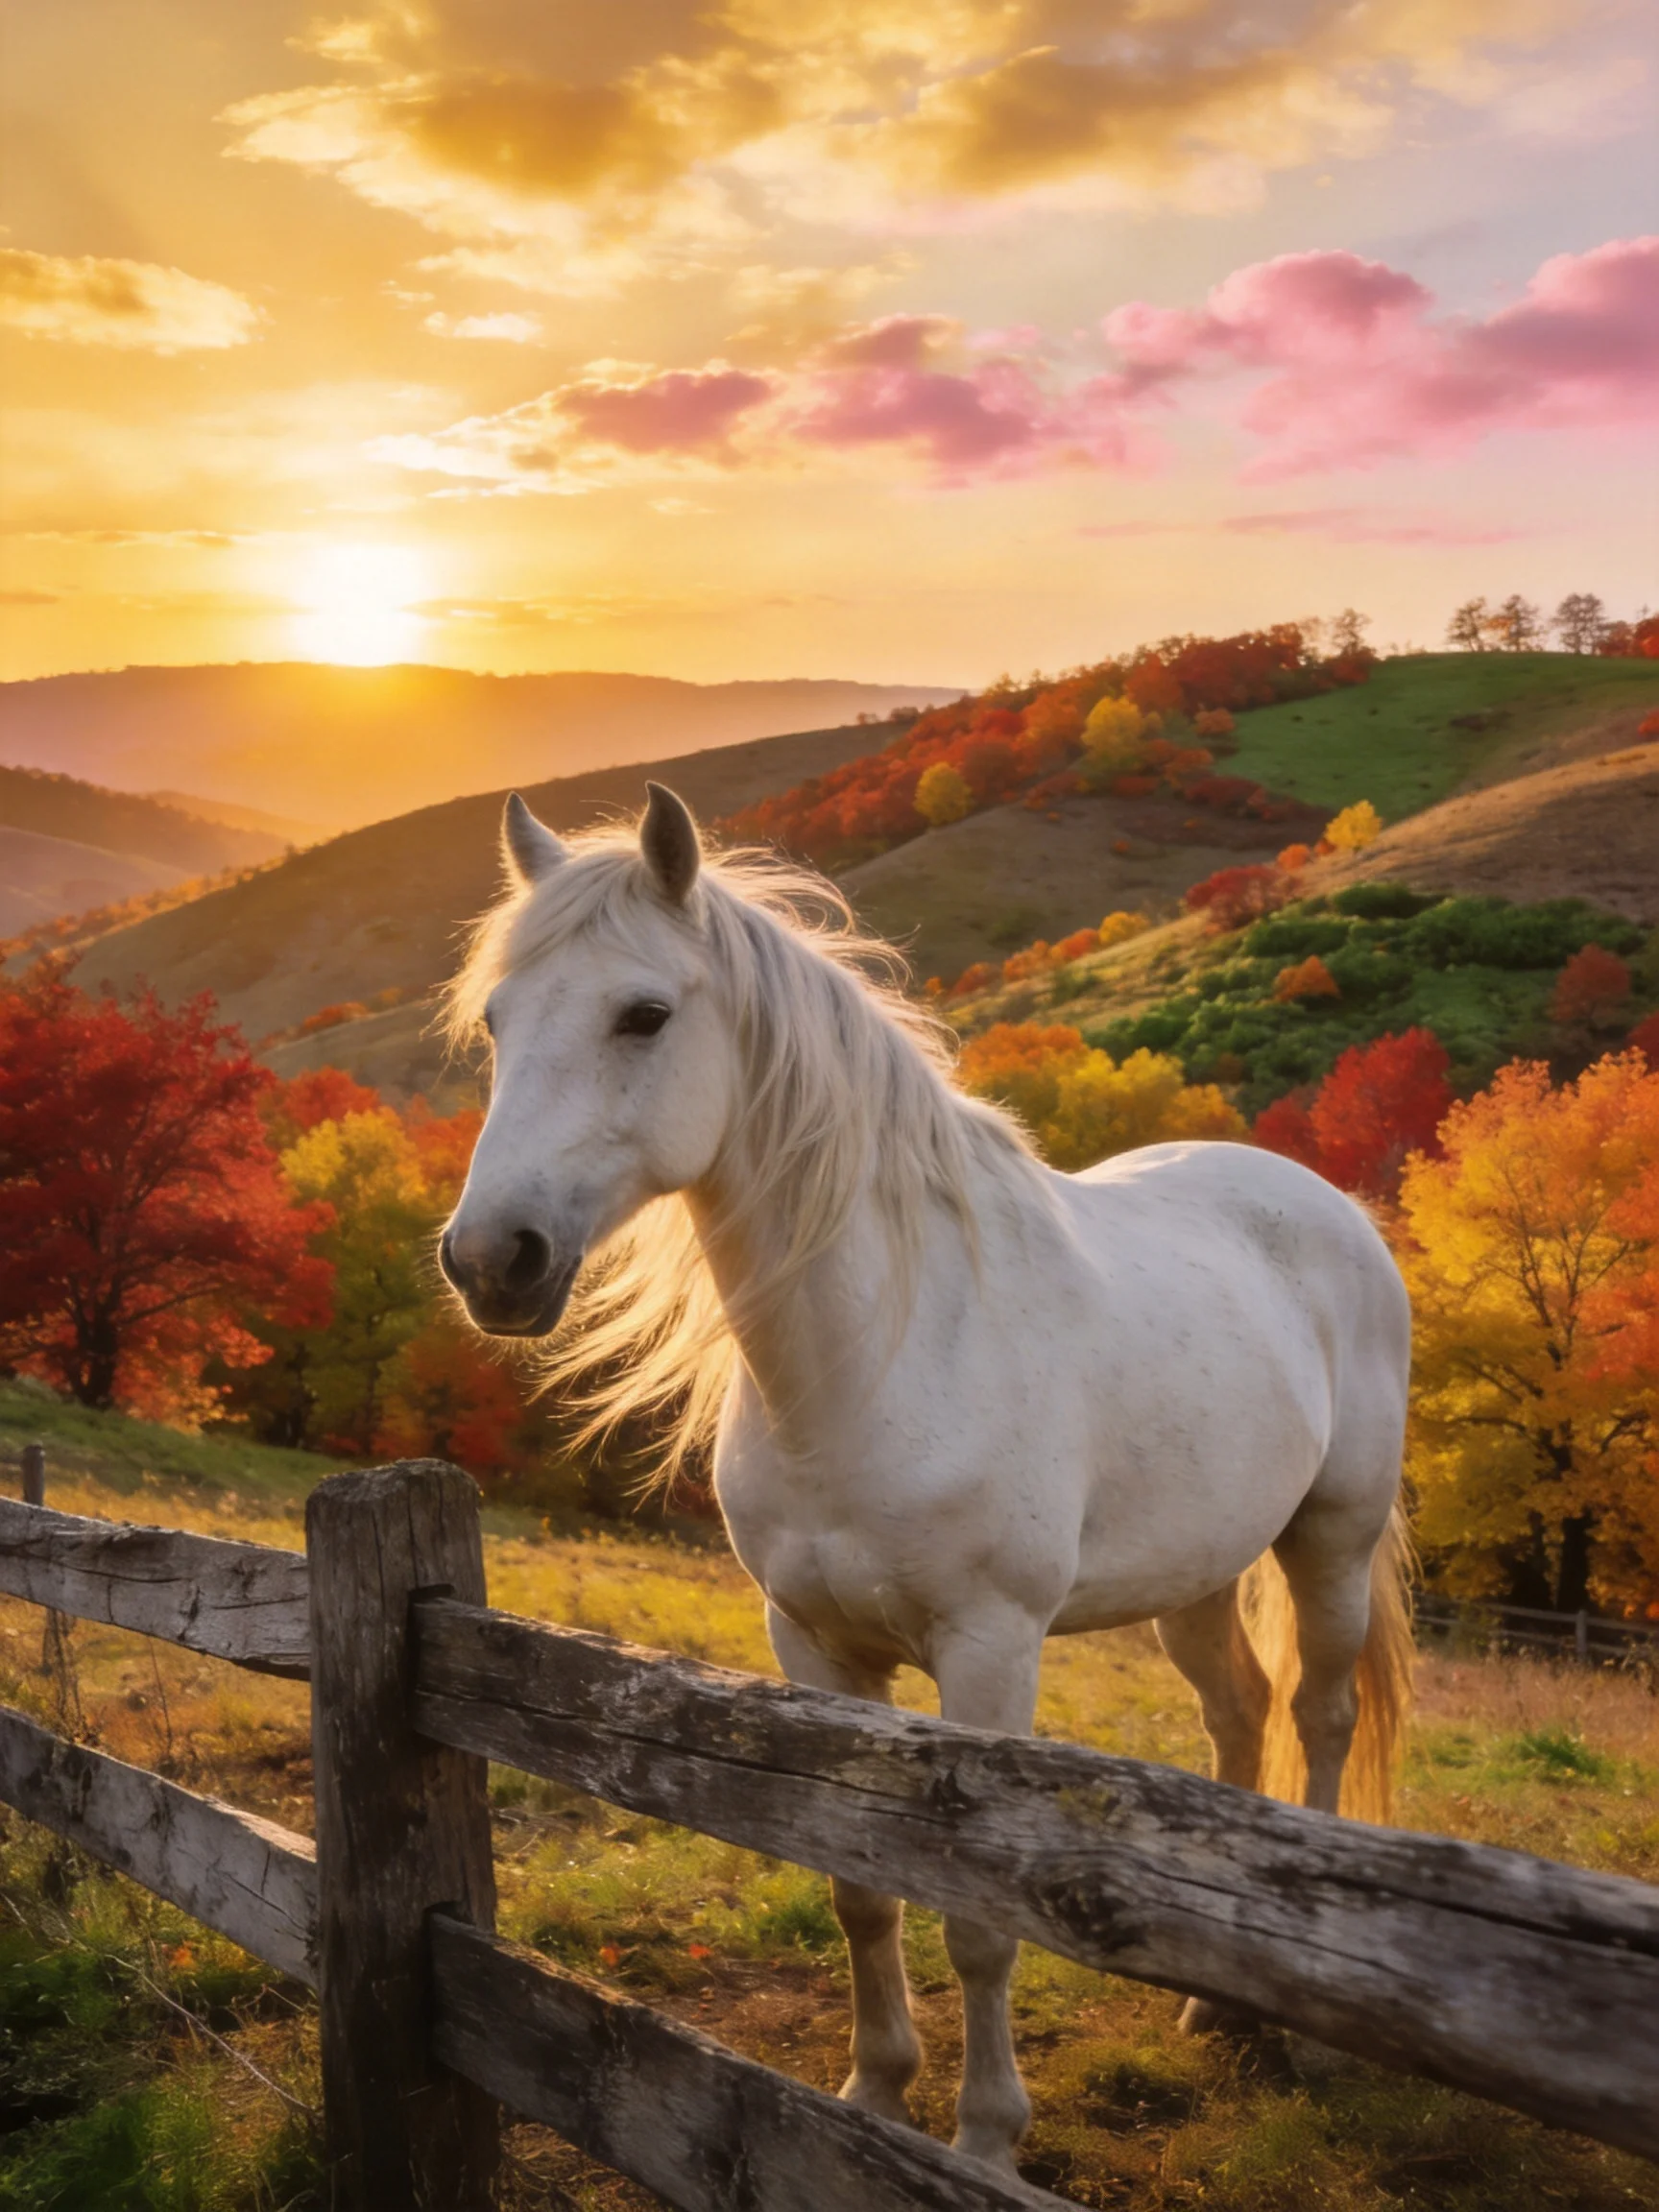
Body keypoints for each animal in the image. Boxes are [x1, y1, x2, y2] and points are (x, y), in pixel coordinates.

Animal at [440, 782, 1415, 2175]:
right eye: (497, 1022)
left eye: (644, 1014)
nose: (490, 1260)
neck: (880, 1355)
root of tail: (1328, 1208)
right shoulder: (813, 1647)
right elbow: (860, 1888)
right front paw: (875, 2094)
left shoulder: (989, 1652)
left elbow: (978, 1918)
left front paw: (984, 2138)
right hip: (1197, 1575)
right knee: (1239, 1716)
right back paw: (1210, 2005)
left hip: (1332, 1541)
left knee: (1320, 1722)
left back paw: (1292, 2030)